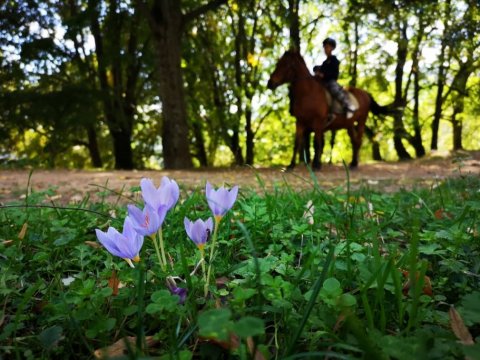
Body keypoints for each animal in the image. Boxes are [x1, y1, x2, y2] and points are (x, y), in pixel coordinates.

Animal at [266, 48, 394, 170]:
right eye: (278, 63)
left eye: (285, 64)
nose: (270, 83)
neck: (307, 92)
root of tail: (365, 94)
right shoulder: (300, 122)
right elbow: (297, 144)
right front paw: (291, 165)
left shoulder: (318, 123)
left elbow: (317, 143)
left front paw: (316, 165)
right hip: (349, 125)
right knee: (354, 141)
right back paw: (352, 163)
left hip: (361, 121)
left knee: (358, 141)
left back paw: (354, 164)